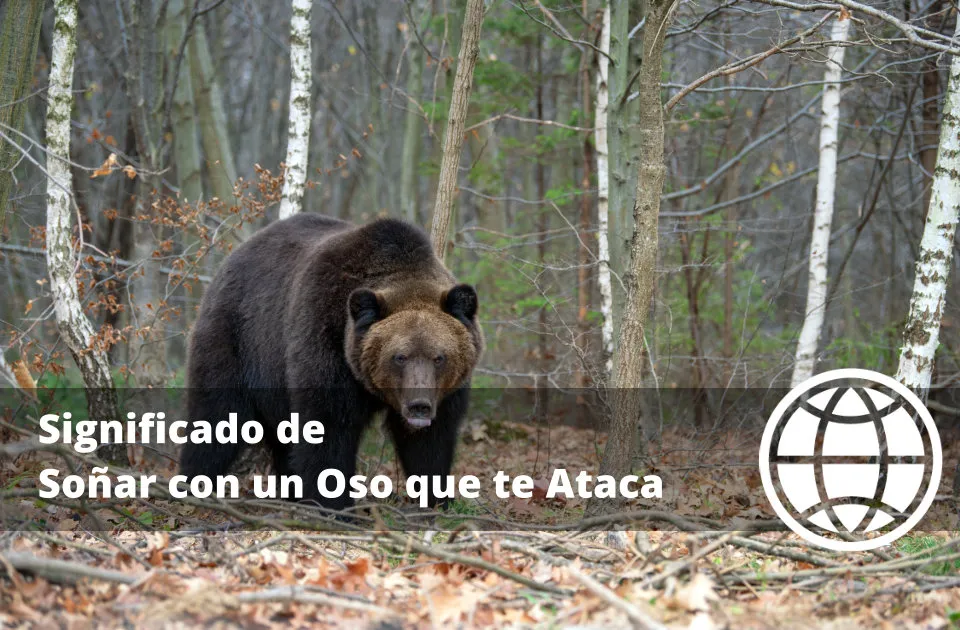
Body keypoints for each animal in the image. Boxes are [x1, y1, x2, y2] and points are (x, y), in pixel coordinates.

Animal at [178, 213, 482, 510]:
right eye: (399, 356)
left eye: (439, 357)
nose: (419, 405)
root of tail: (231, 259)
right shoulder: (325, 337)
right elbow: (328, 427)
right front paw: (334, 506)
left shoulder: (445, 393)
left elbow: (431, 442)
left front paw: (438, 500)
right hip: (237, 341)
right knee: (216, 417)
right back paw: (194, 485)